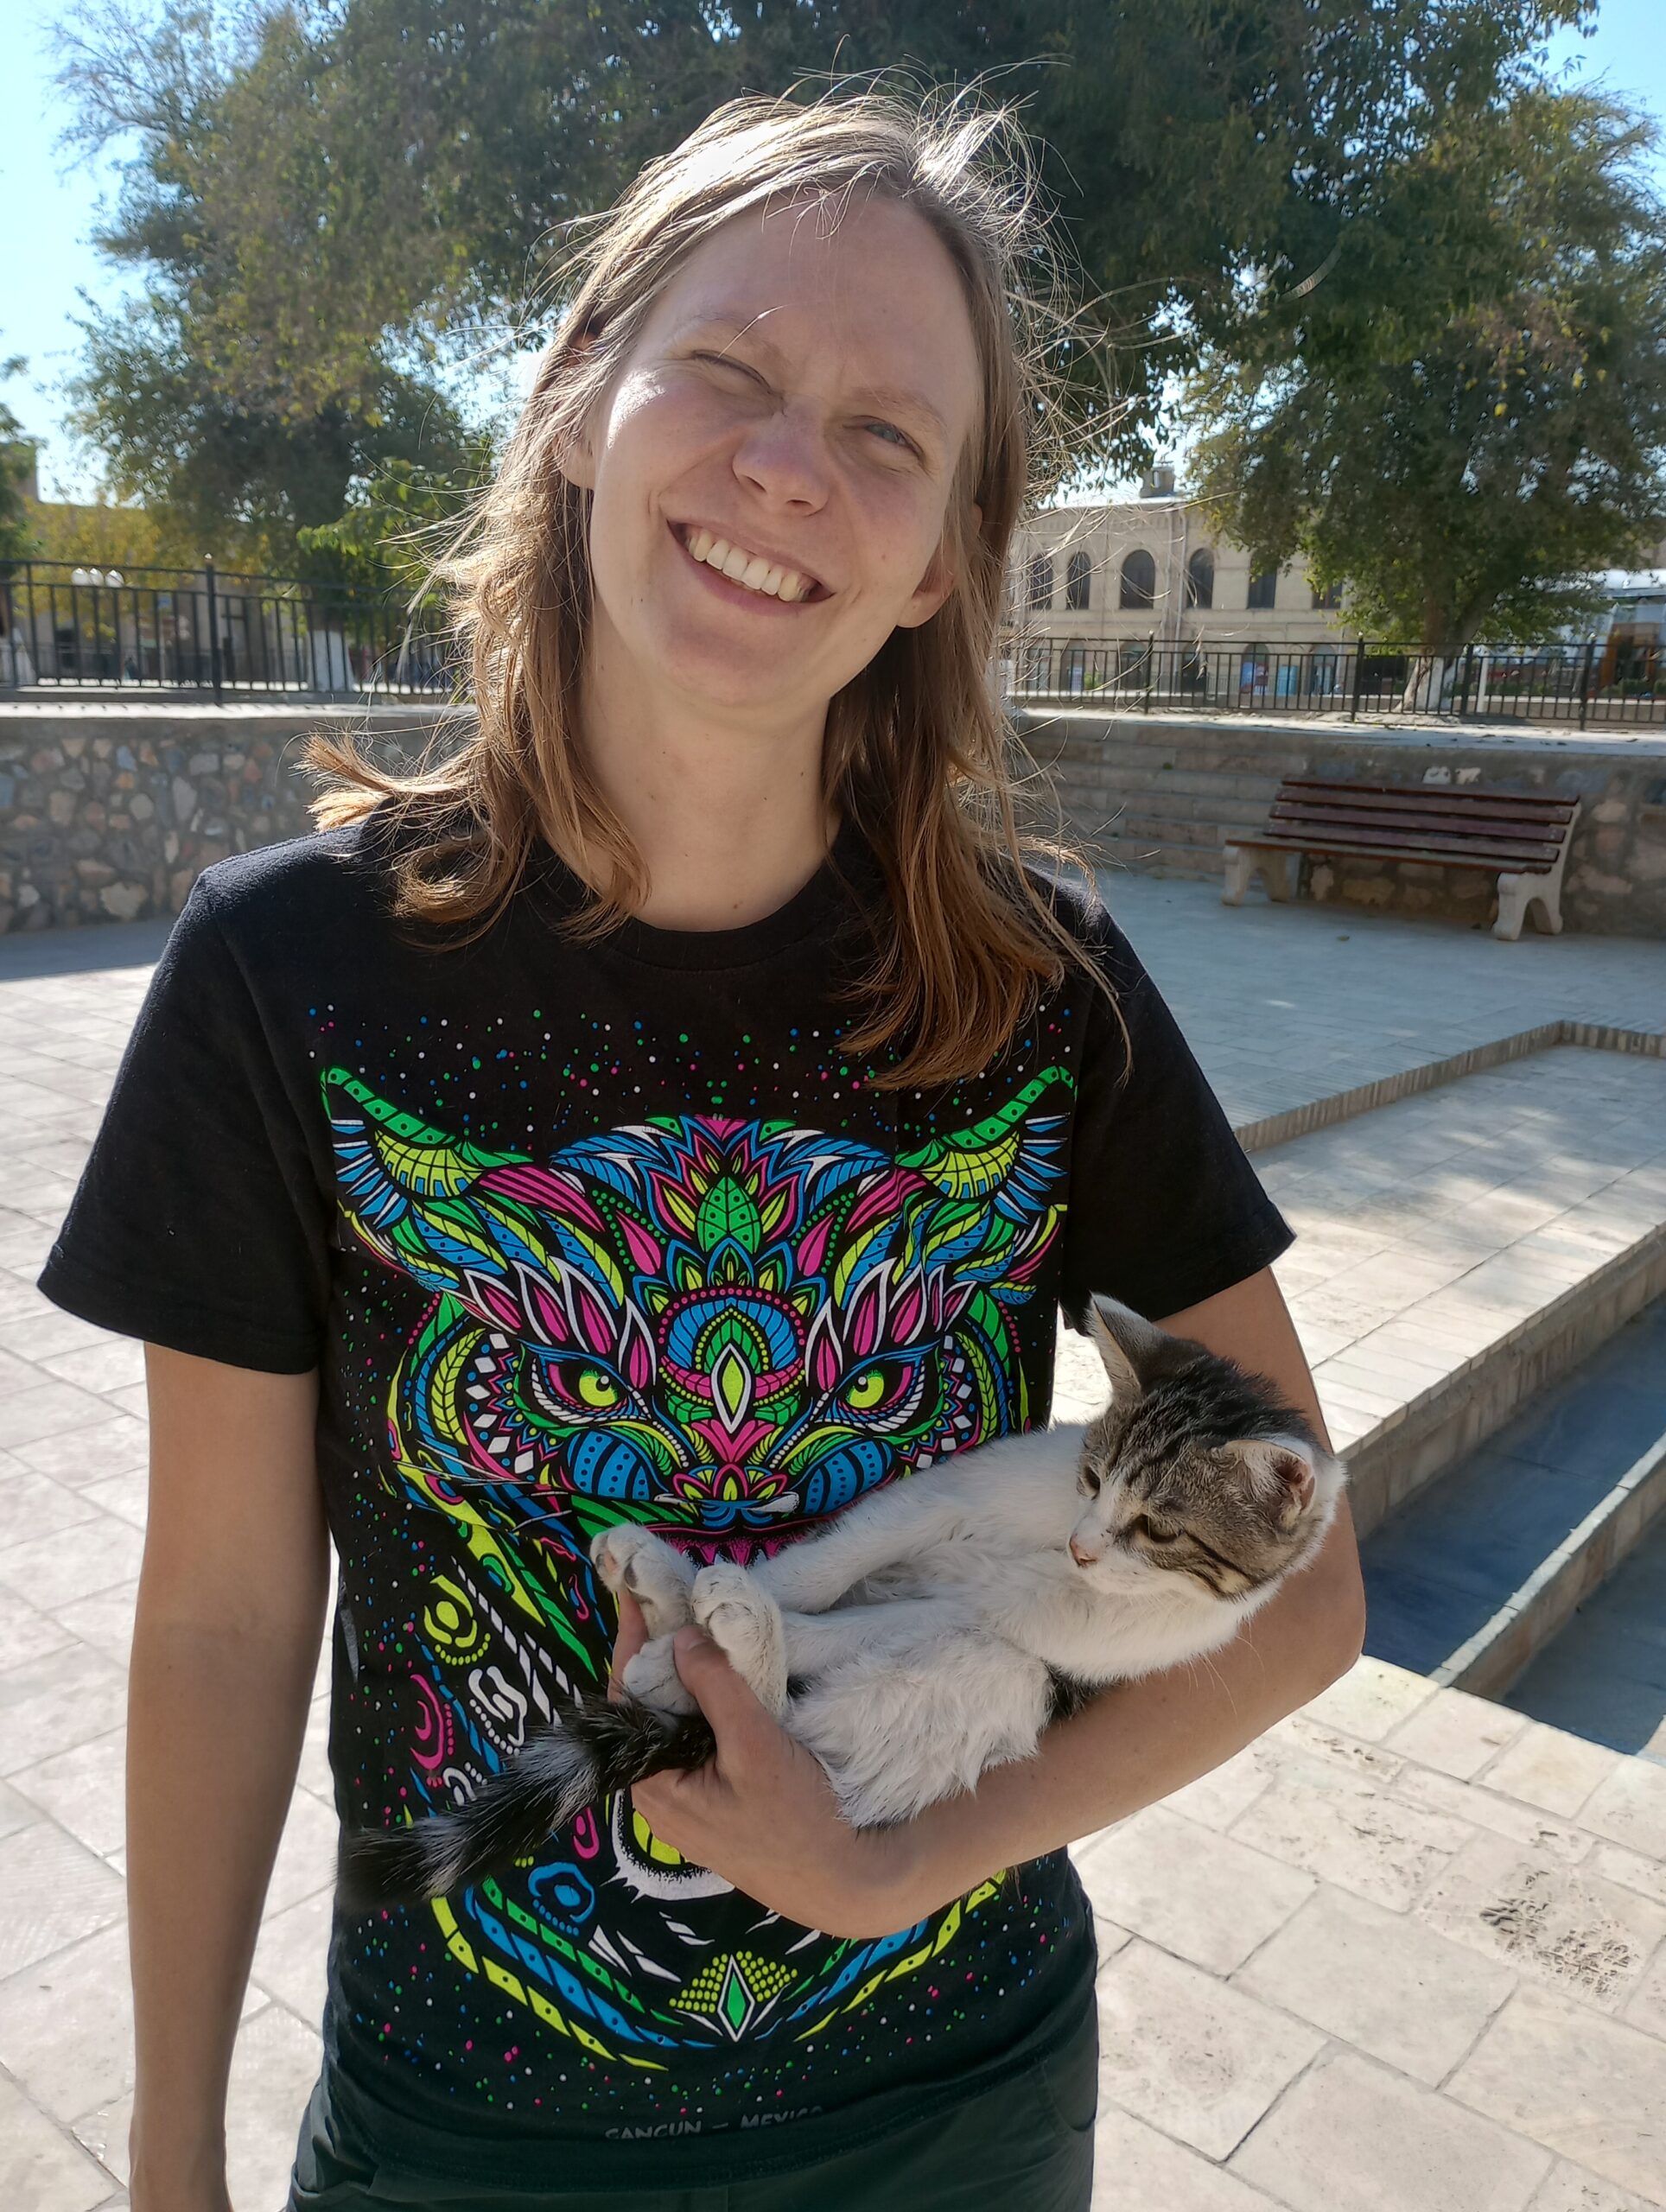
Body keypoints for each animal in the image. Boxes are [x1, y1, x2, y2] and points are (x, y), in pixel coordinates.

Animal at [341, 1294, 1346, 1908]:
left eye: (1159, 1529)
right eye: (1094, 1477)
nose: (1083, 1543)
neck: (1037, 1545)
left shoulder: (1027, 1625)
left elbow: (858, 1626)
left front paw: (725, 1636)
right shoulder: (945, 1497)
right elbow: (840, 1555)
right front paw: (765, 1587)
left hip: (996, 1684)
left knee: (792, 1720)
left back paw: (722, 1641)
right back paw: (667, 1578)